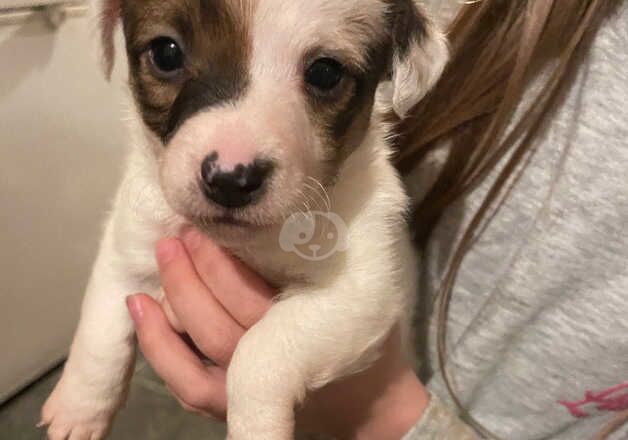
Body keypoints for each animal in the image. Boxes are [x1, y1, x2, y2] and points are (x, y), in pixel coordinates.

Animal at [40, 1, 446, 438]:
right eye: (166, 53)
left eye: (325, 72)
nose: (230, 180)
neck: (247, 242)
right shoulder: (127, 247)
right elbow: (100, 332)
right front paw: (78, 406)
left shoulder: (361, 289)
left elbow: (260, 352)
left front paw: (256, 425)